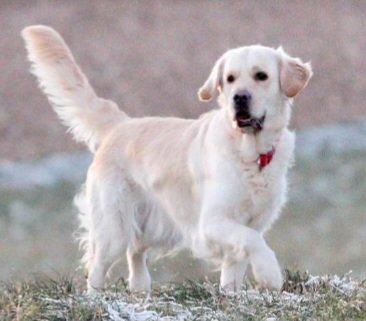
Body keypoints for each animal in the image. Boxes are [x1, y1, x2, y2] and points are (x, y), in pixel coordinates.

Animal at [22, 25, 312, 292]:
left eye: (261, 76)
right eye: (229, 79)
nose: (239, 98)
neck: (250, 154)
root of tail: (120, 125)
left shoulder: (254, 222)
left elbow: (237, 262)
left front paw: (232, 294)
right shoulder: (212, 222)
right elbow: (253, 241)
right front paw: (270, 274)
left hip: (153, 225)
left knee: (135, 252)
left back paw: (140, 291)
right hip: (114, 226)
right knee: (97, 267)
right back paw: (95, 299)